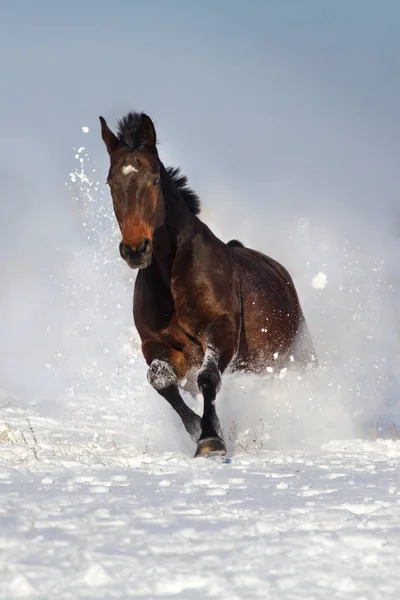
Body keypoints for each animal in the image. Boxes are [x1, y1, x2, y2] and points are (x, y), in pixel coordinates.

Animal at [99, 112, 316, 458]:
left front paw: (211, 439)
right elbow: (162, 381)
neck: (173, 278)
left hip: (298, 356)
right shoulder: (155, 345)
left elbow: (208, 377)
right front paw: (202, 432)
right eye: (111, 183)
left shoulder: (221, 329)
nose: (135, 249)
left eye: (154, 179)